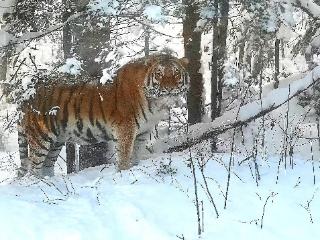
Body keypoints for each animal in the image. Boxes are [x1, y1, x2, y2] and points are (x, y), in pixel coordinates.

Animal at [17, 54, 189, 176]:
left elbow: (136, 154)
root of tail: (28, 91)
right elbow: (124, 156)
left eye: (176, 74)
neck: (155, 104)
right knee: (33, 169)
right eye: (159, 74)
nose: (169, 89)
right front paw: (124, 174)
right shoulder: (125, 129)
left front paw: (134, 168)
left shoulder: (143, 132)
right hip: (40, 137)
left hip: (56, 141)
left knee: (46, 167)